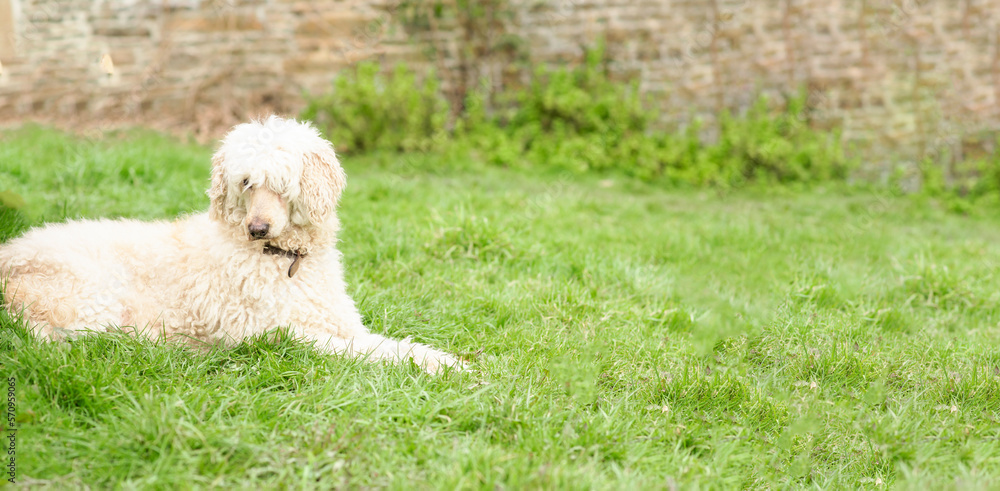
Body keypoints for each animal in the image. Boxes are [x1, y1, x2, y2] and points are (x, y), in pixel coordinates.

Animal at [0, 116, 464, 372]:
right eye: (246, 182)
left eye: (281, 183)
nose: (256, 228)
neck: (282, 259)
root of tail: (10, 255)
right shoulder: (277, 332)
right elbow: (361, 351)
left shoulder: (339, 321)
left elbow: (386, 344)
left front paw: (443, 361)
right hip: (95, 302)